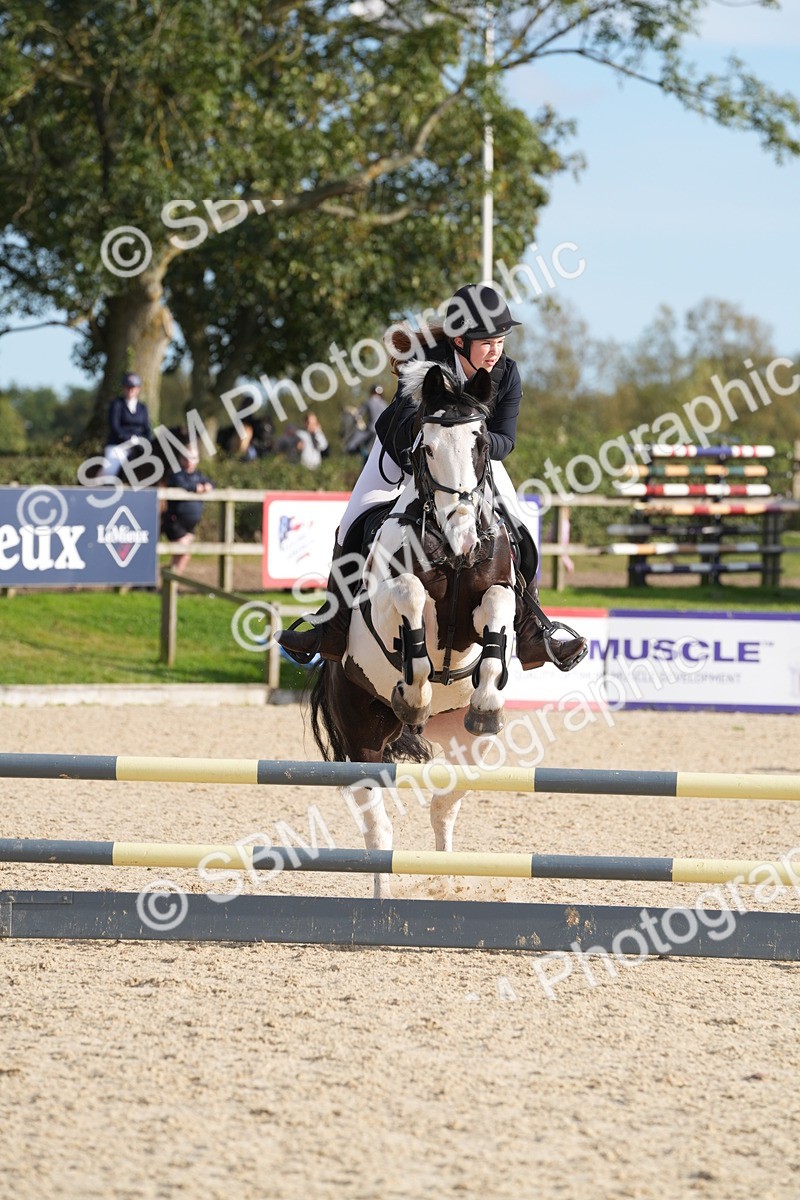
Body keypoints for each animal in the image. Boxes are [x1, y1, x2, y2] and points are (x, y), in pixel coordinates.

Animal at [309, 361, 522, 898]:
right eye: (426, 448)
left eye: (481, 445)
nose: (463, 534)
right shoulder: (385, 604)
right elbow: (408, 597)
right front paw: (415, 690)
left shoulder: (495, 597)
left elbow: (498, 607)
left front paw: (487, 695)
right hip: (362, 731)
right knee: (378, 825)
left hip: (466, 743)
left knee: (446, 801)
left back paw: (445, 882)